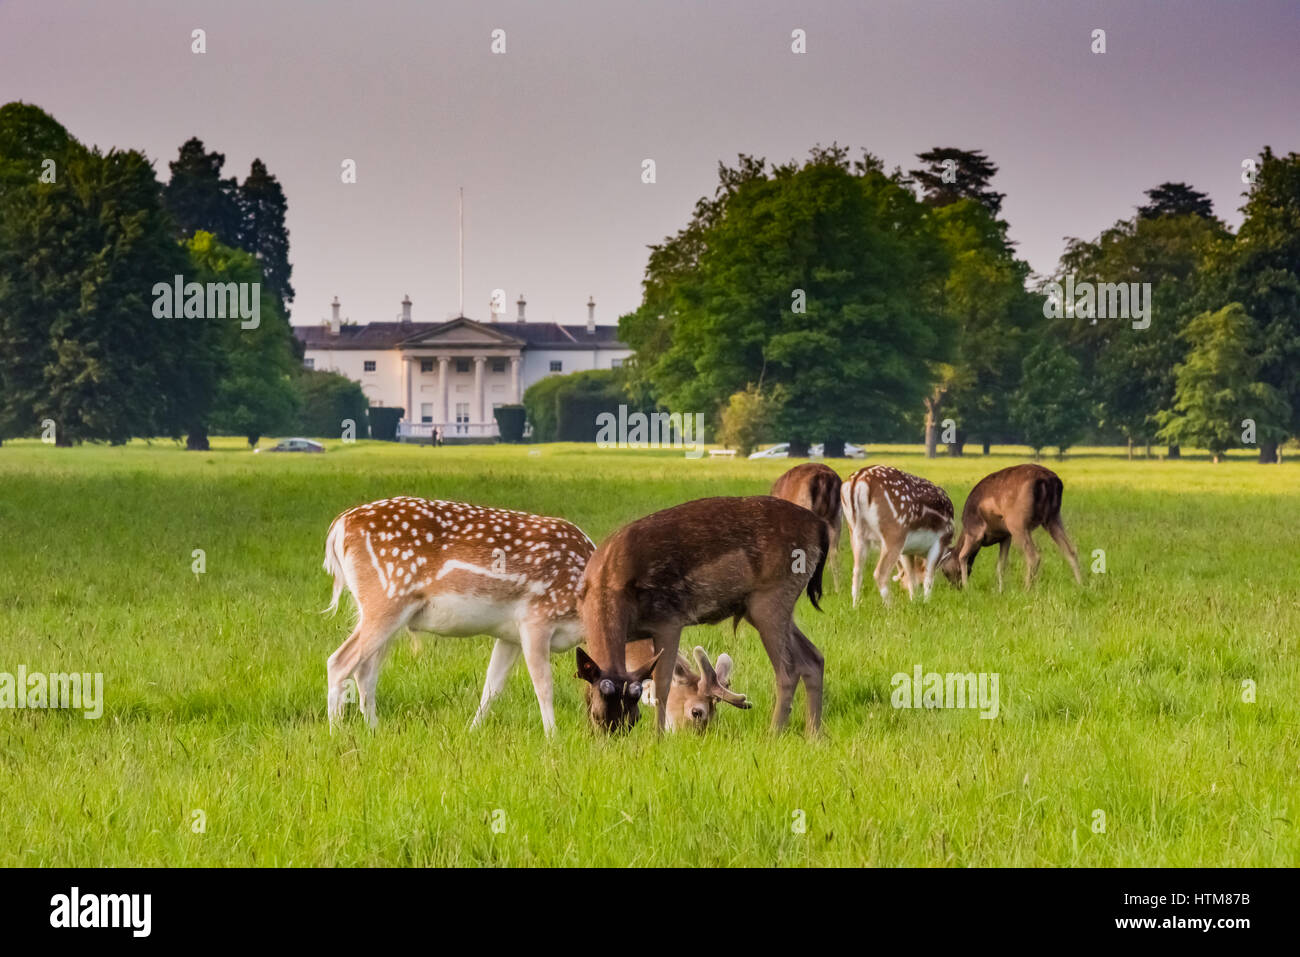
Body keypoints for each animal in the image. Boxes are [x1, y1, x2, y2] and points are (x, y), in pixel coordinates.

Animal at [322, 494, 592, 733]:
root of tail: (338, 527)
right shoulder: (536, 617)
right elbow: (544, 684)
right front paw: (553, 738)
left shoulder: (510, 635)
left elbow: (493, 685)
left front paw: (472, 732)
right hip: (385, 599)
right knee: (338, 661)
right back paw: (338, 733)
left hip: (382, 612)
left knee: (365, 671)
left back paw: (374, 730)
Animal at [577, 496, 826, 738]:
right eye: (596, 716)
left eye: (635, 718)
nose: (612, 738)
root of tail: (819, 526)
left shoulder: (668, 619)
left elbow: (662, 685)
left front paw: (657, 738)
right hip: (760, 608)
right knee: (813, 658)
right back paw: (814, 735)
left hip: (772, 596)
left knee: (788, 670)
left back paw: (774, 734)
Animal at [837, 465, 961, 605]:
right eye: (954, 571)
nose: (958, 587)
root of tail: (857, 482)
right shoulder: (941, 540)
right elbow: (928, 577)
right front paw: (926, 602)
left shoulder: (907, 550)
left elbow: (911, 578)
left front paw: (914, 602)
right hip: (894, 532)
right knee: (880, 573)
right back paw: (891, 606)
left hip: (855, 533)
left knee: (857, 572)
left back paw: (856, 606)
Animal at [951, 462, 1081, 590]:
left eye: (946, 569)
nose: (955, 586)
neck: (965, 529)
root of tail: (1049, 481)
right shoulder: (1006, 536)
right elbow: (1000, 565)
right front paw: (1000, 591)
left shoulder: (975, 532)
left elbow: (963, 555)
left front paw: (967, 588)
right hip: (1053, 517)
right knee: (1071, 550)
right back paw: (1081, 585)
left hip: (1017, 522)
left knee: (1033, 556)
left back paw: (1026, 589)